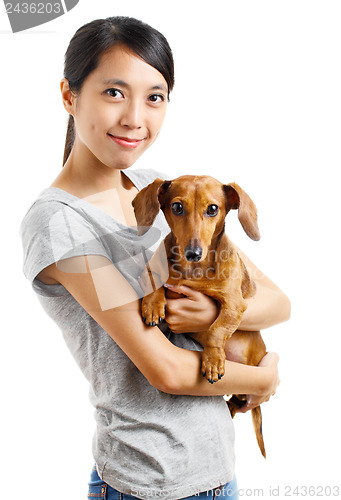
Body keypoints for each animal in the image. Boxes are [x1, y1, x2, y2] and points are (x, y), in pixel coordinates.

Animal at [131, 175, 266, 458]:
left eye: (213, 209)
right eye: (177, 207)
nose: (193, 253)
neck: (193, 272)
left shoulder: (235, 305)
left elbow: (217, 329)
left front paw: (213, 361)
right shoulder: (149, 270)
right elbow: (154, 280)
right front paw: (153, 305)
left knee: (239, 402)